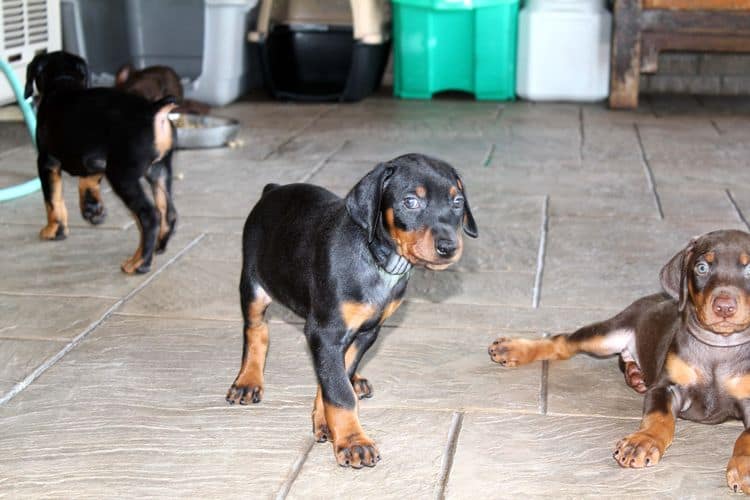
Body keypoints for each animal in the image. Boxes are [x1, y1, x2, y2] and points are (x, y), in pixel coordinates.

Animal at [25, 51, 179, 274]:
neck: (63, 83)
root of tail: (153, 109)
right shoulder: (94, 160)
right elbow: (87, 182)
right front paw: (93, 210)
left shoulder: (47, 162)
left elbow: (52, 200)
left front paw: (54, 230)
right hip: (159, 171)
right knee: (168, 213)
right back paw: (158, 248)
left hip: (122, 176)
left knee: (149, 216)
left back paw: (139, 263)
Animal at [226, 153, 478, 468]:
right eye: (410, 202)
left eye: (457, 202)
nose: (449, 247)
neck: (377, 260)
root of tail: (272, 189)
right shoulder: (325, 331)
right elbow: (338, 390)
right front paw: (352, 442)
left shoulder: (367, 332)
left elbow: (337, 376)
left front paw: (326, 422)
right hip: (253, 284)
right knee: (256, 330)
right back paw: (248, 381)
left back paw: (355, 380)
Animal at [488, 231, 750, 496]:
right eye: (702, 267)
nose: (724, 307)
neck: (719, 347)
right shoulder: (666, 387)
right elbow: (659, 417)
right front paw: (643, 442)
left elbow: (746, 437)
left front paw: (744, 469)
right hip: (608, 333)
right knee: (563, 342)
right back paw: (511, 348)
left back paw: (635, 375)